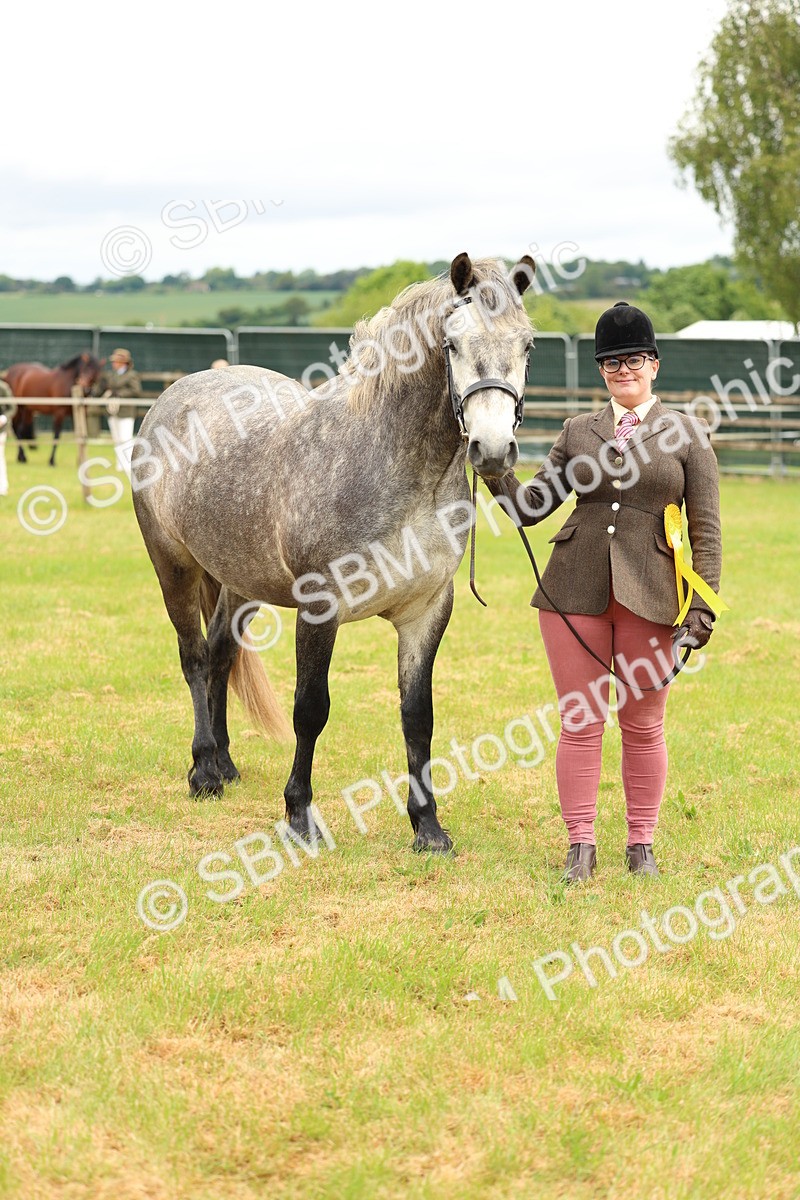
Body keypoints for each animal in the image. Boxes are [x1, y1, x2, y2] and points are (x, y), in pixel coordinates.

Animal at [133, 253, 536, 853]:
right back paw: (204, 771)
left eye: (528, 345)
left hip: (240, 581)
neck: (391, 463)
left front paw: (428, 826)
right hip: (174, 568)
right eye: (452, 344)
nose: (492, 450)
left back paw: (225, 763)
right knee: (195, 658)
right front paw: (300, 816)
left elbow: (417, 715)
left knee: (223, 653)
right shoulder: (319, 607)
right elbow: (310, 710)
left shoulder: (426, 612)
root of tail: (175, 395)